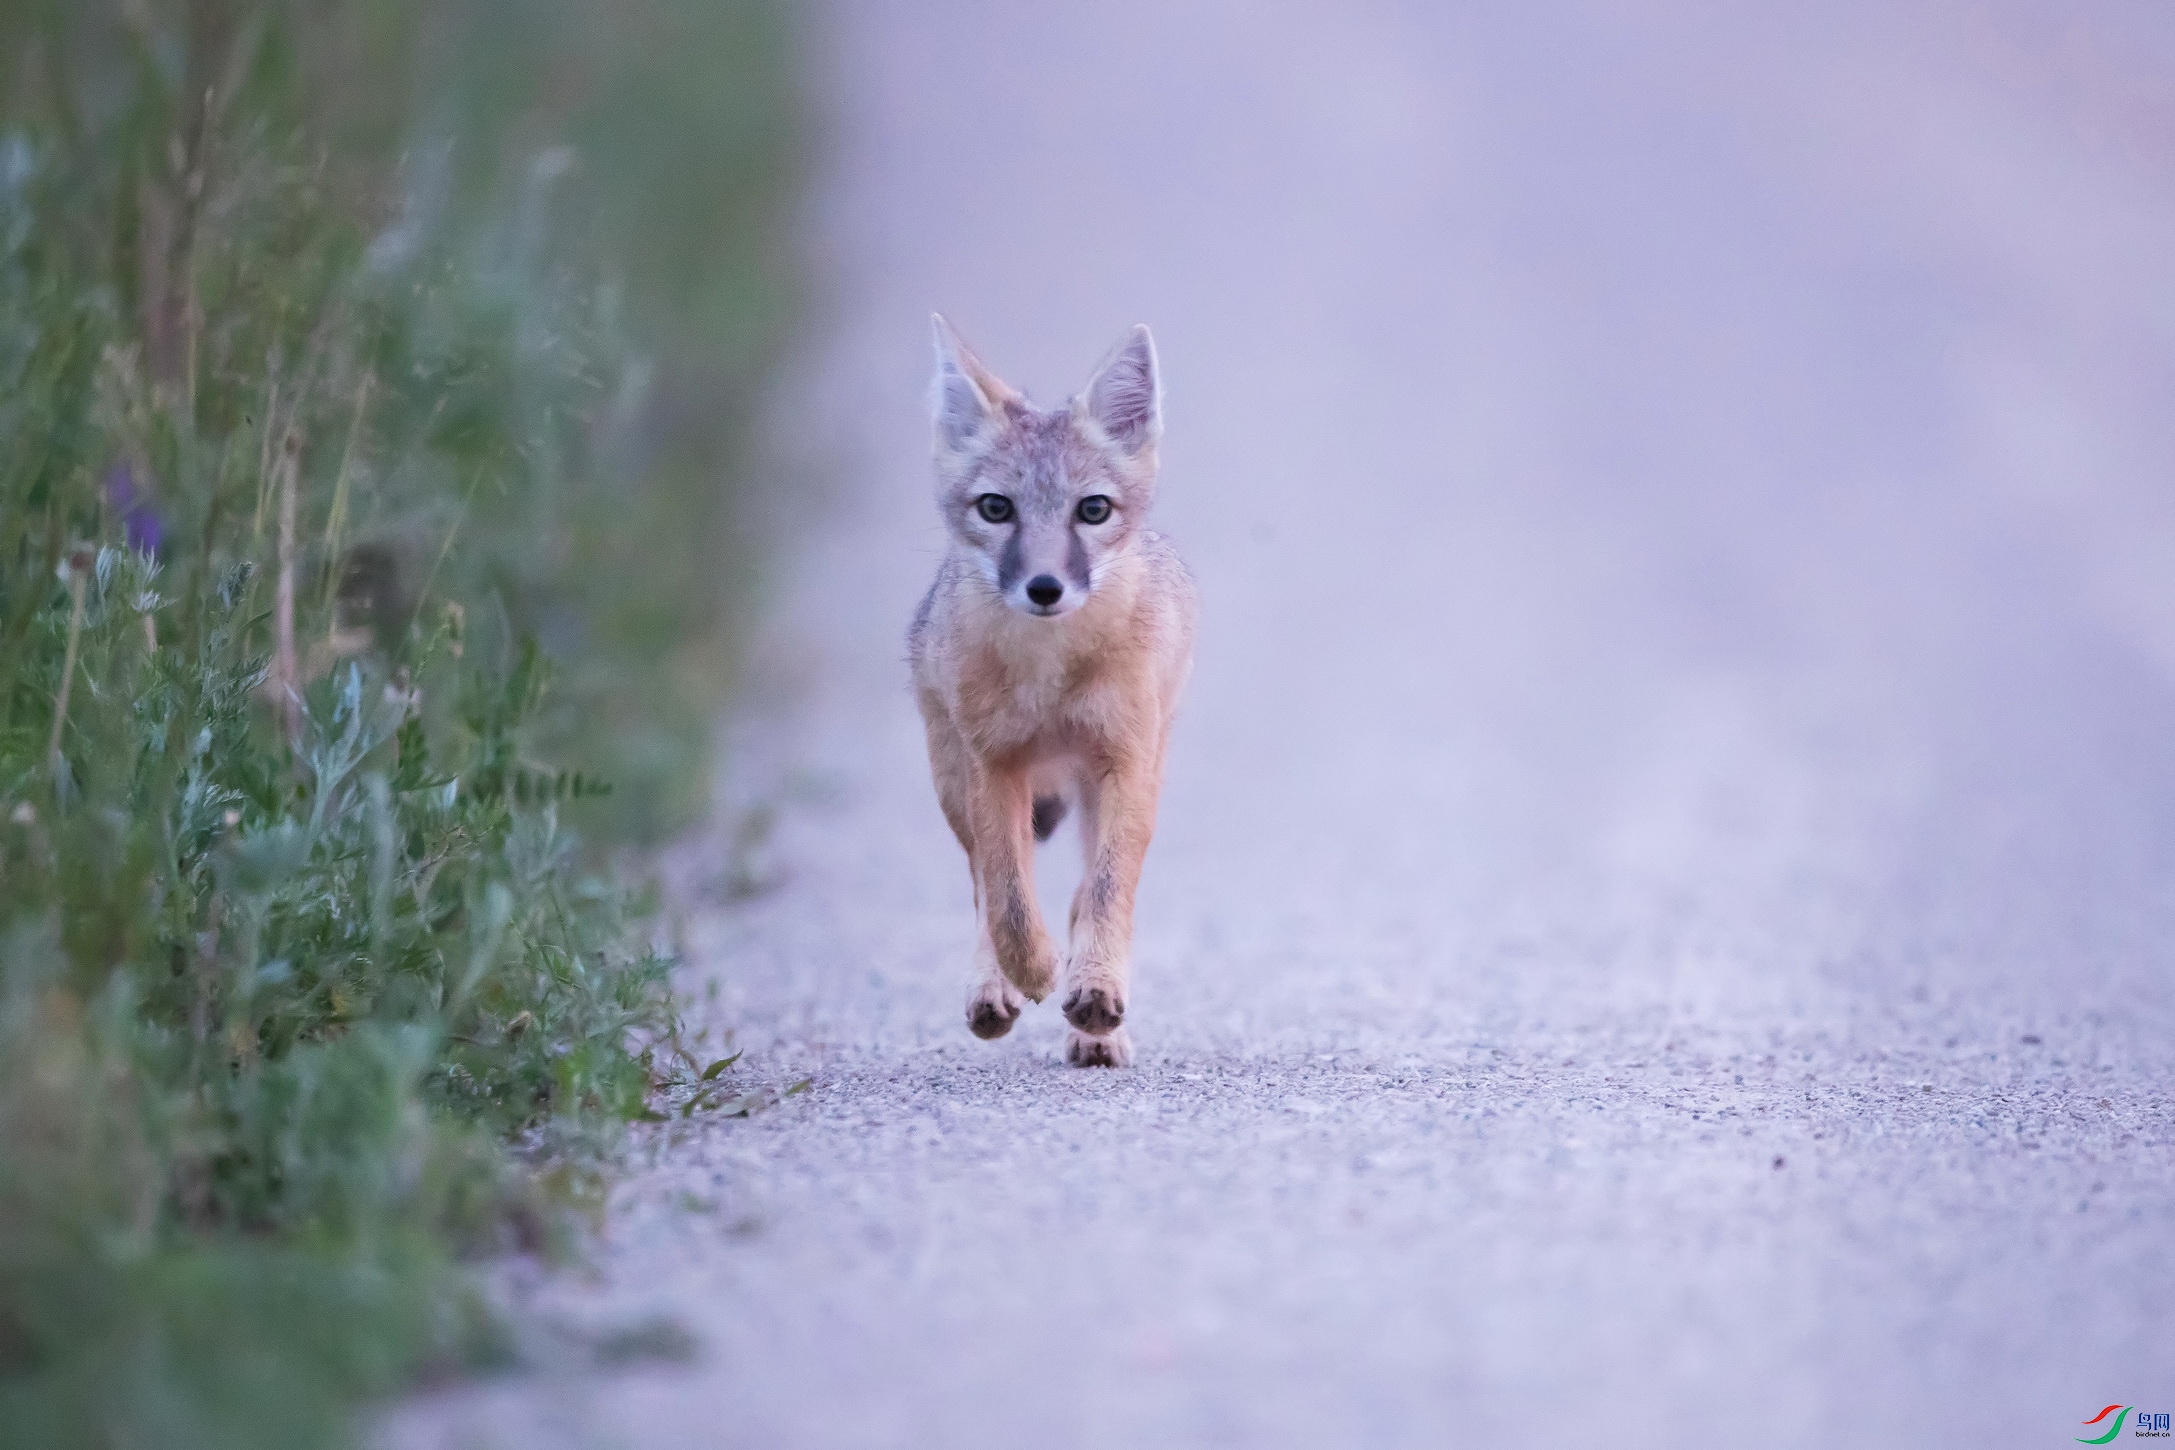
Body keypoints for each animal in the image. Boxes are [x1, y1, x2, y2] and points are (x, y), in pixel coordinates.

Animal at [909, 317, 1200, 1065]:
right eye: (996, 508)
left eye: (1092, 510)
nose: (1044, 587)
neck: (1050, 680)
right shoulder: (994, 768)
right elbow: (1009, 897)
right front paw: (1033, 971)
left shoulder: (1126, 765)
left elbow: (1104, 893)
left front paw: (1093, 991)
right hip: (953, 785)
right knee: (983, 889)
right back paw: (995, 988)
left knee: (1079, 892)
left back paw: (1096, 1028)